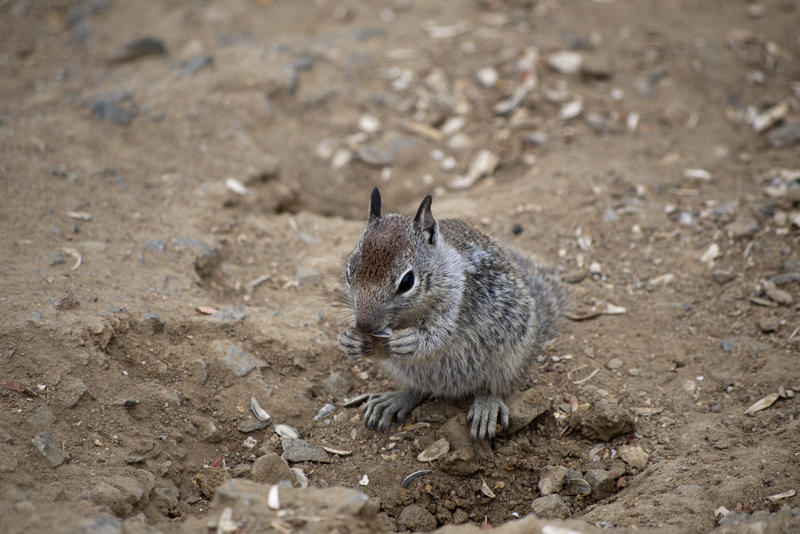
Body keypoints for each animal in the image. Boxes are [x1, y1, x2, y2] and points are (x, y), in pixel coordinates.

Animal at [336, 191, 564, 442]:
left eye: (407, 281)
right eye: (348, 273)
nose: (364, 325)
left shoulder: (454, 305)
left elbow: (439, 336)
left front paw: (410, 340)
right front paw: (349, 340)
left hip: (508, 357)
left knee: (493, 387)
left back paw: (487, 407)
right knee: (418, 388)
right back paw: (395, 400)